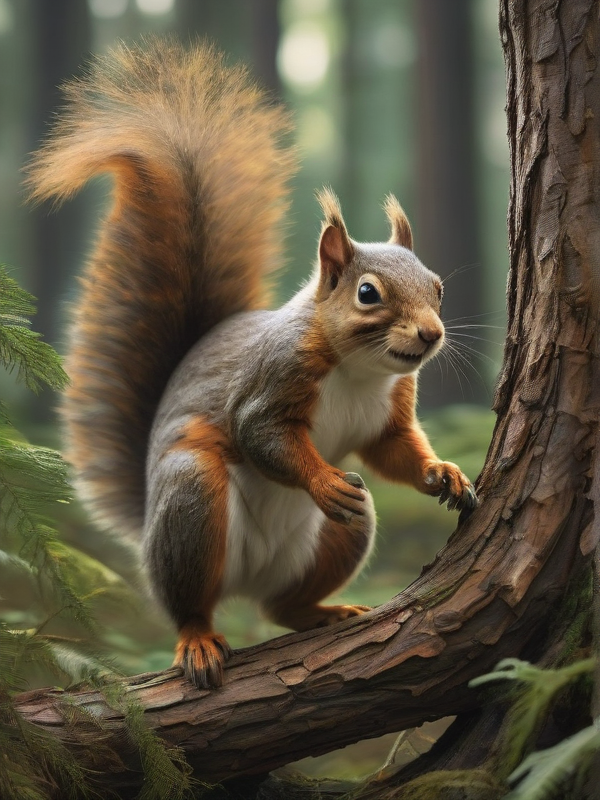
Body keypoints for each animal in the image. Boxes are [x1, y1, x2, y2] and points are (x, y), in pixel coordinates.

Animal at [27, 38, 478, 690]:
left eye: (439, 288)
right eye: (368, 294)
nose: (431, 333)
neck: (358, 368)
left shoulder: (390, 411)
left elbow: (393, 449)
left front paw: (442, 472)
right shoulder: (272, 379)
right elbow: (260, 434)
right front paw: (321, 477)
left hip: (343, 531)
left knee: (282, 603)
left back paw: (321, 610)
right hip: (192, 503)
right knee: (190, 602)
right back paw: (198, 638)